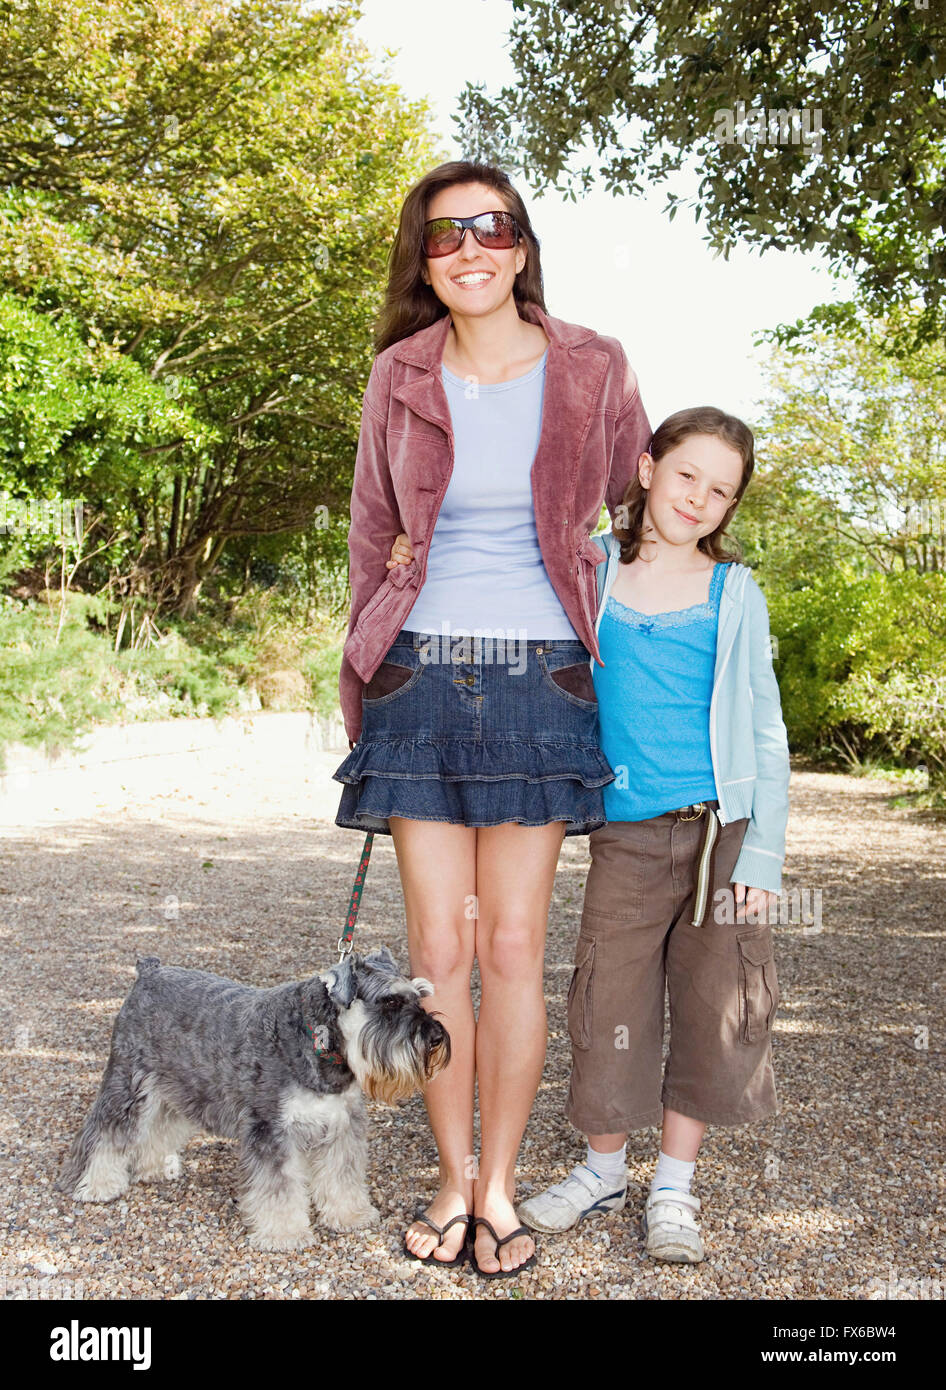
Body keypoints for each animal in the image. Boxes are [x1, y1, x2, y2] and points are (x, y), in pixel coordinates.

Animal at [57, 945, 447, 1251]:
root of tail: (148, 971)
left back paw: (153, 1167)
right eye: (389, 1002)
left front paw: (350, 1214)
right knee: (104, 1132)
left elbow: (342, 1175)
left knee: (159, 1126)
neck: (317, 1037)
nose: (436, 1037)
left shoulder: (341, 1126)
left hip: (178, 1088)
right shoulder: (271, 1130)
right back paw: (97, 1184)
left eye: (419, 996)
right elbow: (279, 1189)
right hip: (128, 1083)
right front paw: (285, 1234)